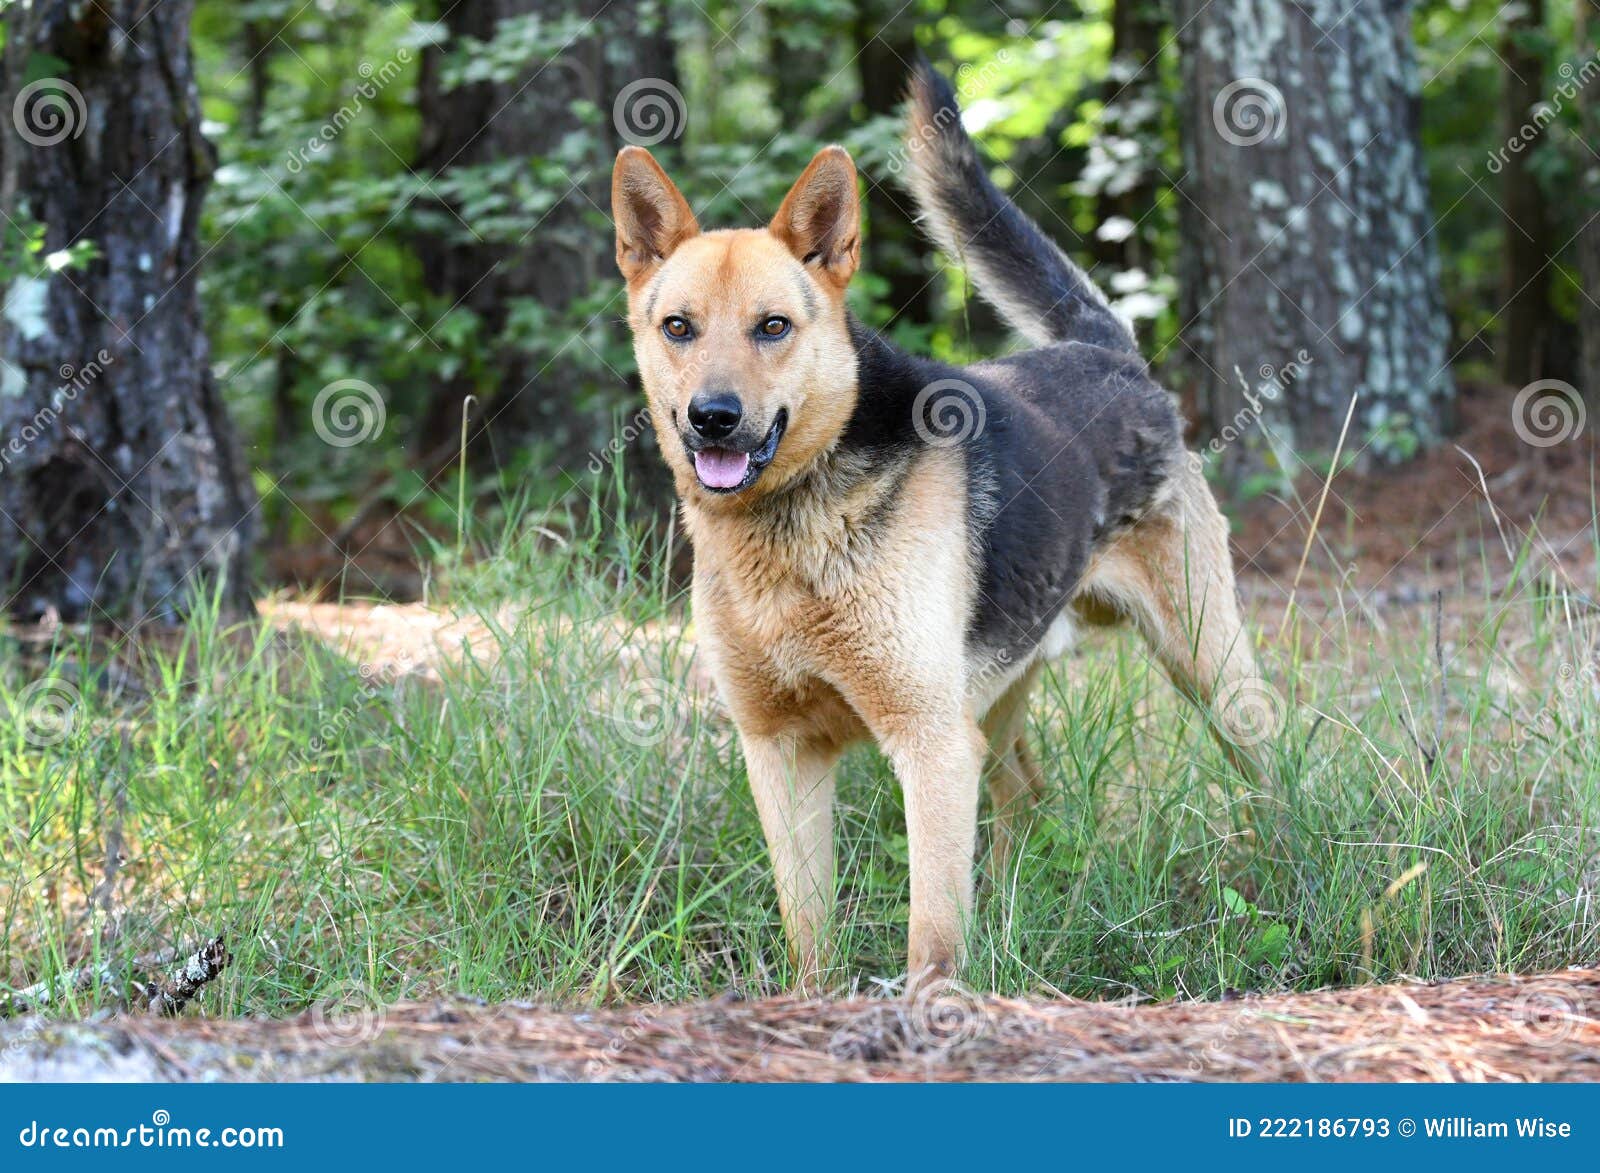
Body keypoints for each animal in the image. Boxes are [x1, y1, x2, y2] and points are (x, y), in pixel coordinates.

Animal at [604, 64, 1267, 992]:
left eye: (773, 327)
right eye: (678, 328)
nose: (714, 418)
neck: (791, 529)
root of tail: (1108, 352)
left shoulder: (930, 744)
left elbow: (933, 939)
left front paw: (933, 1008)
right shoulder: (781, 750)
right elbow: (809, 931)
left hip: (1209, 670)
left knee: (1272, 774)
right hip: (1002, 695)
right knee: (1027, 793)